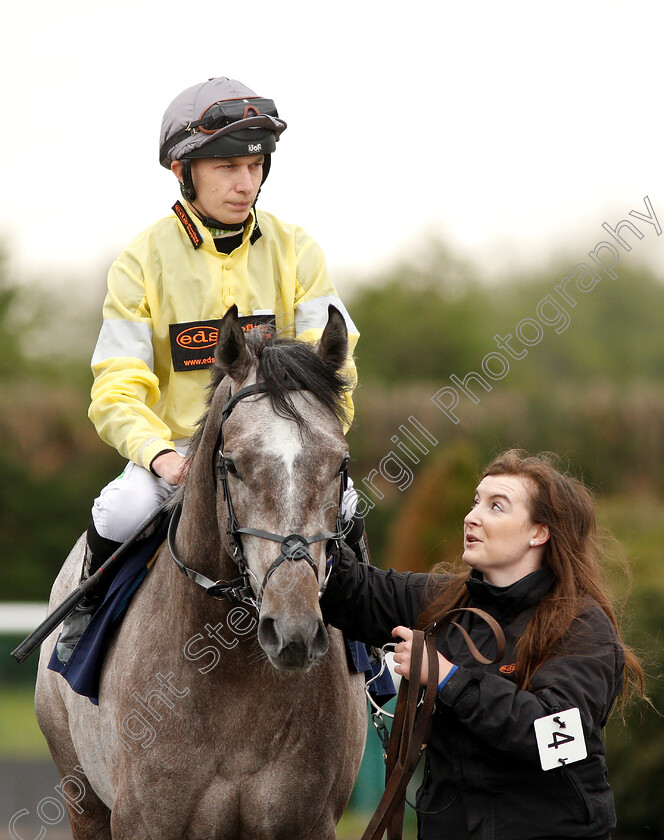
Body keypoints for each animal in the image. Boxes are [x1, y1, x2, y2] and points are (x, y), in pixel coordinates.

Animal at [35, 308, 368, 840]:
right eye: (231, 464)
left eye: (341, 462)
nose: (293, 630)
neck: (234, 681)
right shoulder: (143, 822)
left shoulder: (307, 823)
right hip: (80, 794)